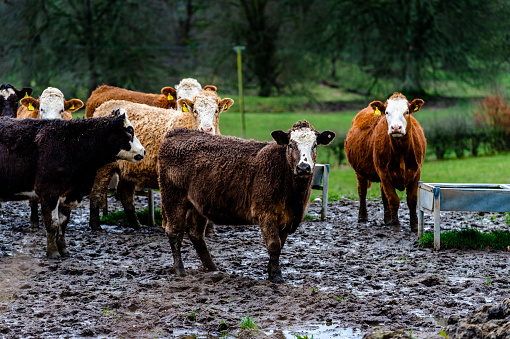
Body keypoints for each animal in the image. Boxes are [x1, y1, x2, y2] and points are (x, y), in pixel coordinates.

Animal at [0, 110, 145, 258]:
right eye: (130, 131)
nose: (143, 151)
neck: (72, 146)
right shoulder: (48, 192)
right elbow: (52, 223)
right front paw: (53, 252)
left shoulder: (69, 194)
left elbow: (63, 223)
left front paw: (63, 250)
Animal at [157, 121, 336, 282]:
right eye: (291, 145)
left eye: (315, 145)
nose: (303, 168)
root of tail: (177, 132)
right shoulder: (266, 215)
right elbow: (274, 245)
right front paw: (276, 276)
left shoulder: (287, 219)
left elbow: (280, 245)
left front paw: (271, 271)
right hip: (173, 198)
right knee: (175, 232)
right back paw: (180, 270)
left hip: (197, 205)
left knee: (196, 234)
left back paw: (212, 268)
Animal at [342, 92, 426, 231]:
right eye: (387, 112)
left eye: (407, 111)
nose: (396, 127)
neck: (401, 152)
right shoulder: (384, 174)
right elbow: (393, 199)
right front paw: (396, 225)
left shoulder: (416, 172)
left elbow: (412, 200)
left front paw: (414, 226)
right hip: (360, 173)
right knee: (362, 192)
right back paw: (363, 217)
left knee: (383, 194)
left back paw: (387, 219)